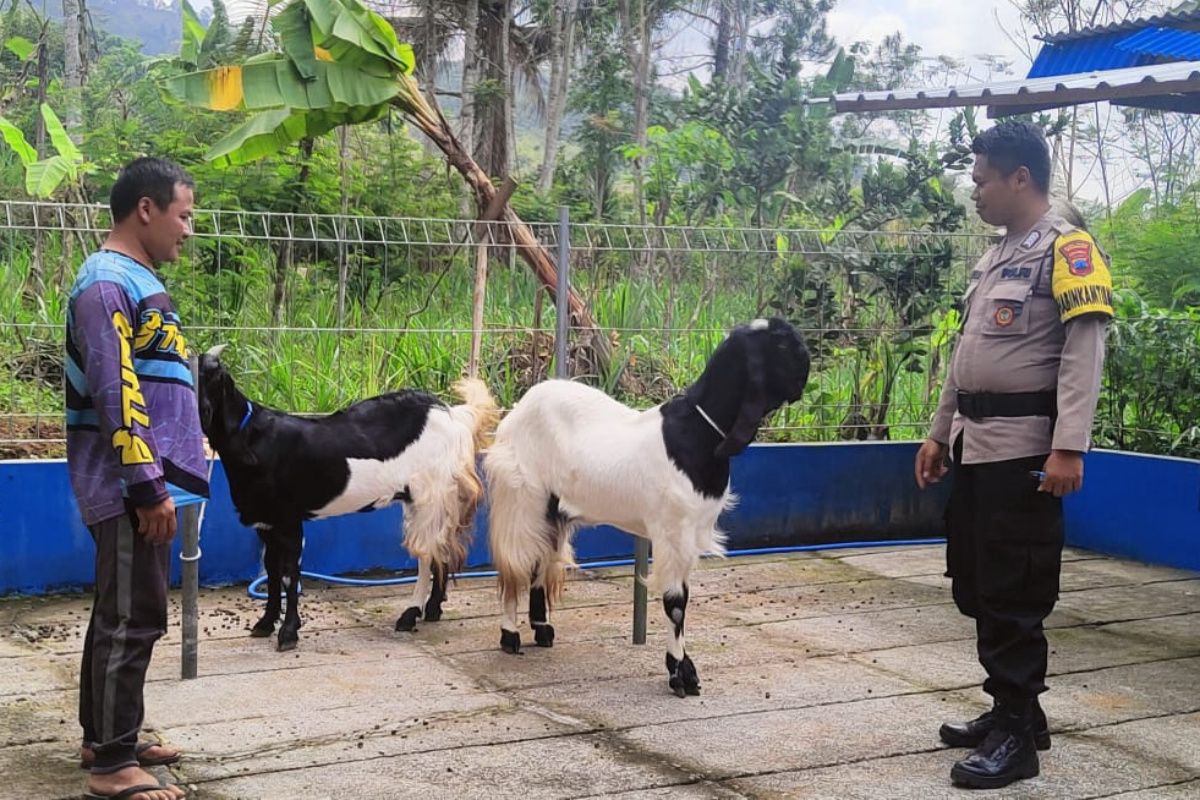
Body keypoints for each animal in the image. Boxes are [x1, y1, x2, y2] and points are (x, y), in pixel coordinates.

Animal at [199, 347, 499, 652]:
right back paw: (433, 609)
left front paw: (288, 632)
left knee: (428, 552)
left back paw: (411, 613)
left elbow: (289, 574)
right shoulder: (266, 522)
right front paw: (265, 624)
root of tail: (454, 414)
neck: (250, 437)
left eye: (206, 376)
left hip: (432, 493)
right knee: (440, 548)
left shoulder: (289, 519)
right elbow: (271, 571)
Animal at [482, 316, 811, 695]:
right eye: (781, 344)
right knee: (517, 562)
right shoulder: (673, 531)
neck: (698, 432)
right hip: (523, 498)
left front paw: (685, 669)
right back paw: (510, 635)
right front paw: (680, 674)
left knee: (540, 559)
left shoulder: (688, 536)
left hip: (553, 508)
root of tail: (517, 411)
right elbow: (676, 604)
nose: (807, 366)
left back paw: (542, 629)